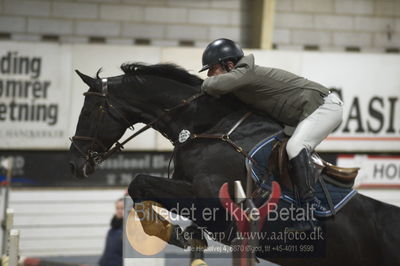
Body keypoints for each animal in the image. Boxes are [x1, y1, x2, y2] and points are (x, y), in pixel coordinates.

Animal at [69, 62, 400, 266]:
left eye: (90, 110)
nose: (74, 165)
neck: (206, 126)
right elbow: (141, 188)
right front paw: (176, 232)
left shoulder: (215, 204)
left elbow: (139, 181)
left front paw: (170, 231)